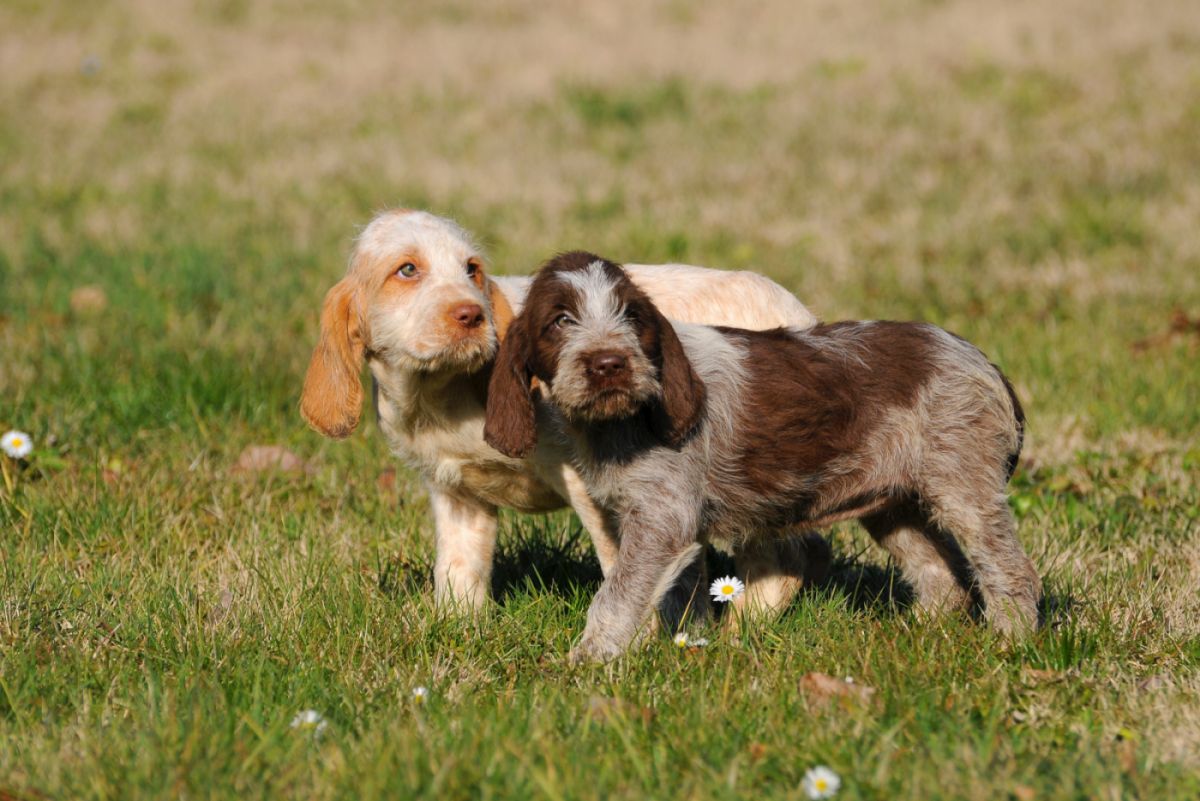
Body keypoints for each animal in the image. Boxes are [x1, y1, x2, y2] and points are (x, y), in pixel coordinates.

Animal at [300, 209, 825, 618]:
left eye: (472, 271)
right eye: (406, 270)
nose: (473, 315)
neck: (440, 394)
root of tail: (802, 319)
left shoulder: (594, 484)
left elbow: (626, 568)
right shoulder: (456, 495)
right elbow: (457, 575)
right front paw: (457, 634)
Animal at [484, 253, 1041, 661]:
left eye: (632, 317)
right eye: (560, 321)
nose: (609, 364)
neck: (621, 422)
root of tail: (983, 362)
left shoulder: (662, 518)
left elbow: (617, 596)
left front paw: (587, 663)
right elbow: (676, 593)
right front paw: (687, 646)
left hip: (964, 487)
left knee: (1009, 569)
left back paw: (1010, 642)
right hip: (893, 504)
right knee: (939, 576)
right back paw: (918, 636)